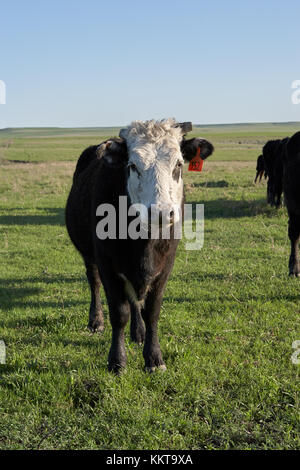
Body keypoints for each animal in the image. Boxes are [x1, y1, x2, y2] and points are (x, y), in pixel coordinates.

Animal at [65, 119, 214, 372]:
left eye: (179, 164)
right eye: (133, 165)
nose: (161, 212)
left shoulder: (165, 265)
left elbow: (151, 311)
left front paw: (154, 358)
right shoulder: (107, 264)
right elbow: (119, 312)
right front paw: (117, 360)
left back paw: (139, 333)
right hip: (89, 256)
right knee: (94, 283)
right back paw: (96, 321)